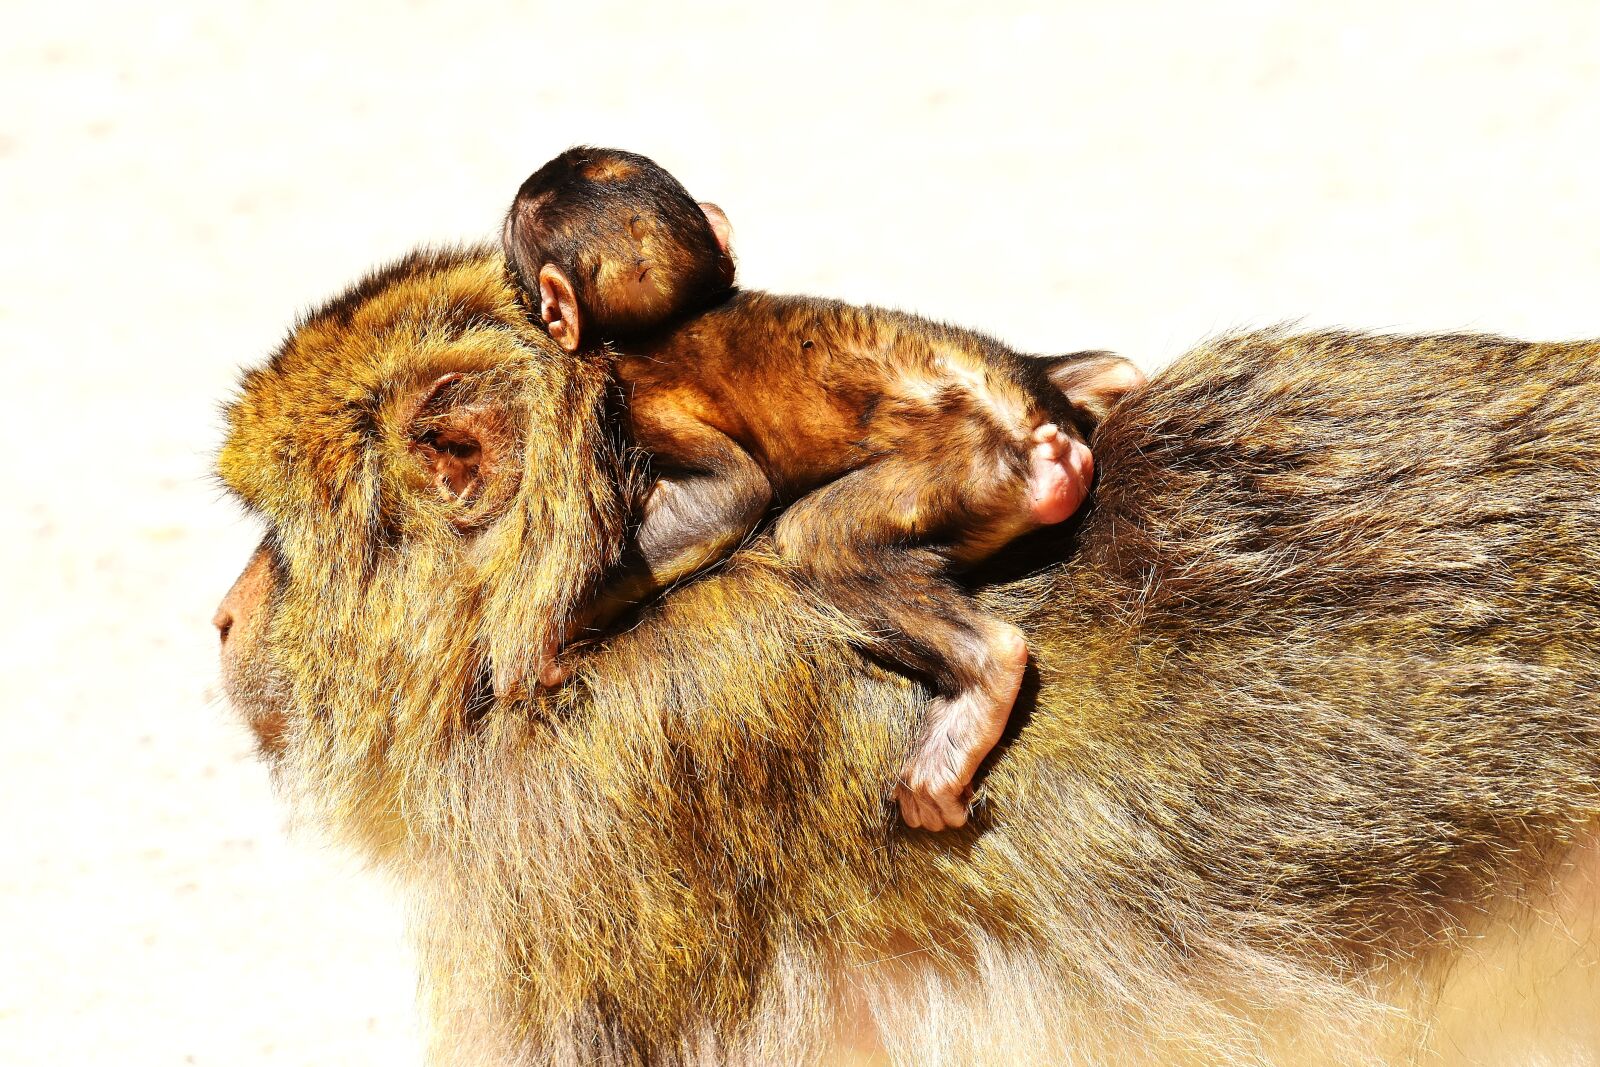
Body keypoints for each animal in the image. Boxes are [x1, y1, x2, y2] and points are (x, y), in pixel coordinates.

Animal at [501, 146, 1142, 831]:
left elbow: (732, 495)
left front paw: (549, 638)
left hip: (970, 470)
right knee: (1113, 368)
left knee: (816, 536)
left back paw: (984, 681)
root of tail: (1047, 442)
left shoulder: (636, 392)